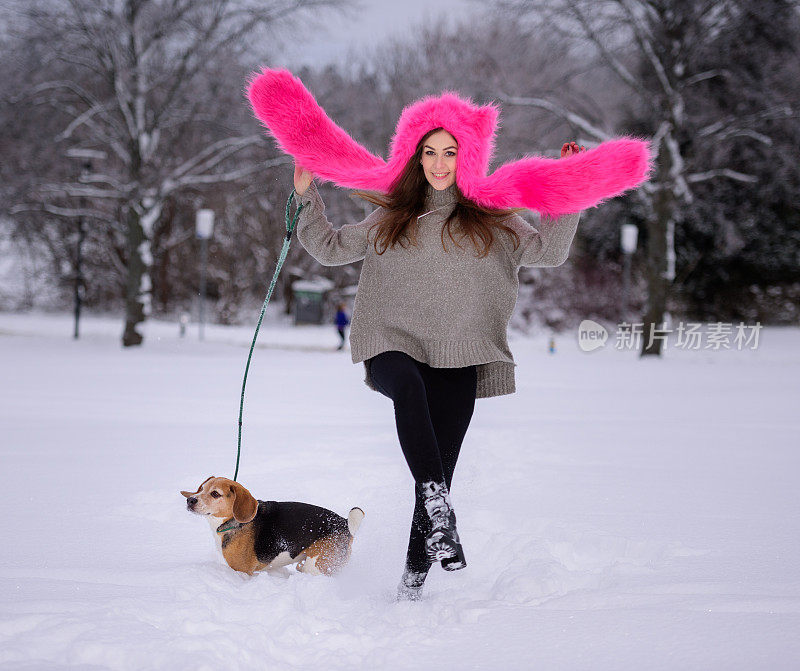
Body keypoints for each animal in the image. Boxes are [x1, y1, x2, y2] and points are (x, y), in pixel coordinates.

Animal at [181, 478, 366, 576]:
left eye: (215, 494)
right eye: (201, 489)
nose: (190, 500)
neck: (231, 522)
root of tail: (344, 523)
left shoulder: (243, 572)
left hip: (315, 565)